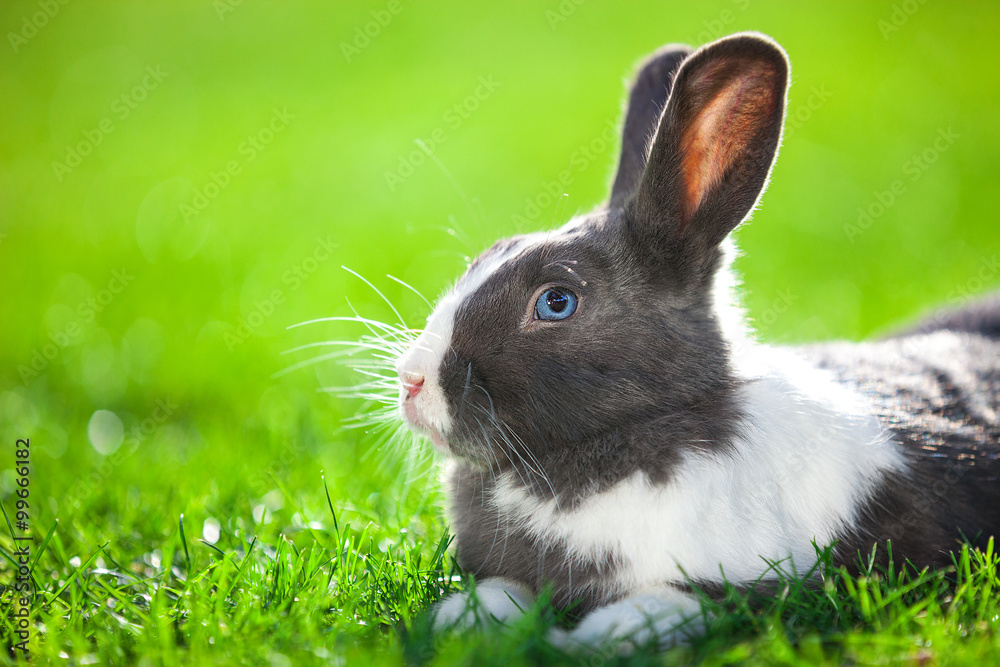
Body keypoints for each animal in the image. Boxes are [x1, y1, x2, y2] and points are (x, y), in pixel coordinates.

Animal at [390, 31, 1000, 650]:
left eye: (556, 302)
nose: (412, 381)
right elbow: (496, 593)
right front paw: (459, 623)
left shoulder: (745, 588)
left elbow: (665, 606)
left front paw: (593, 639)